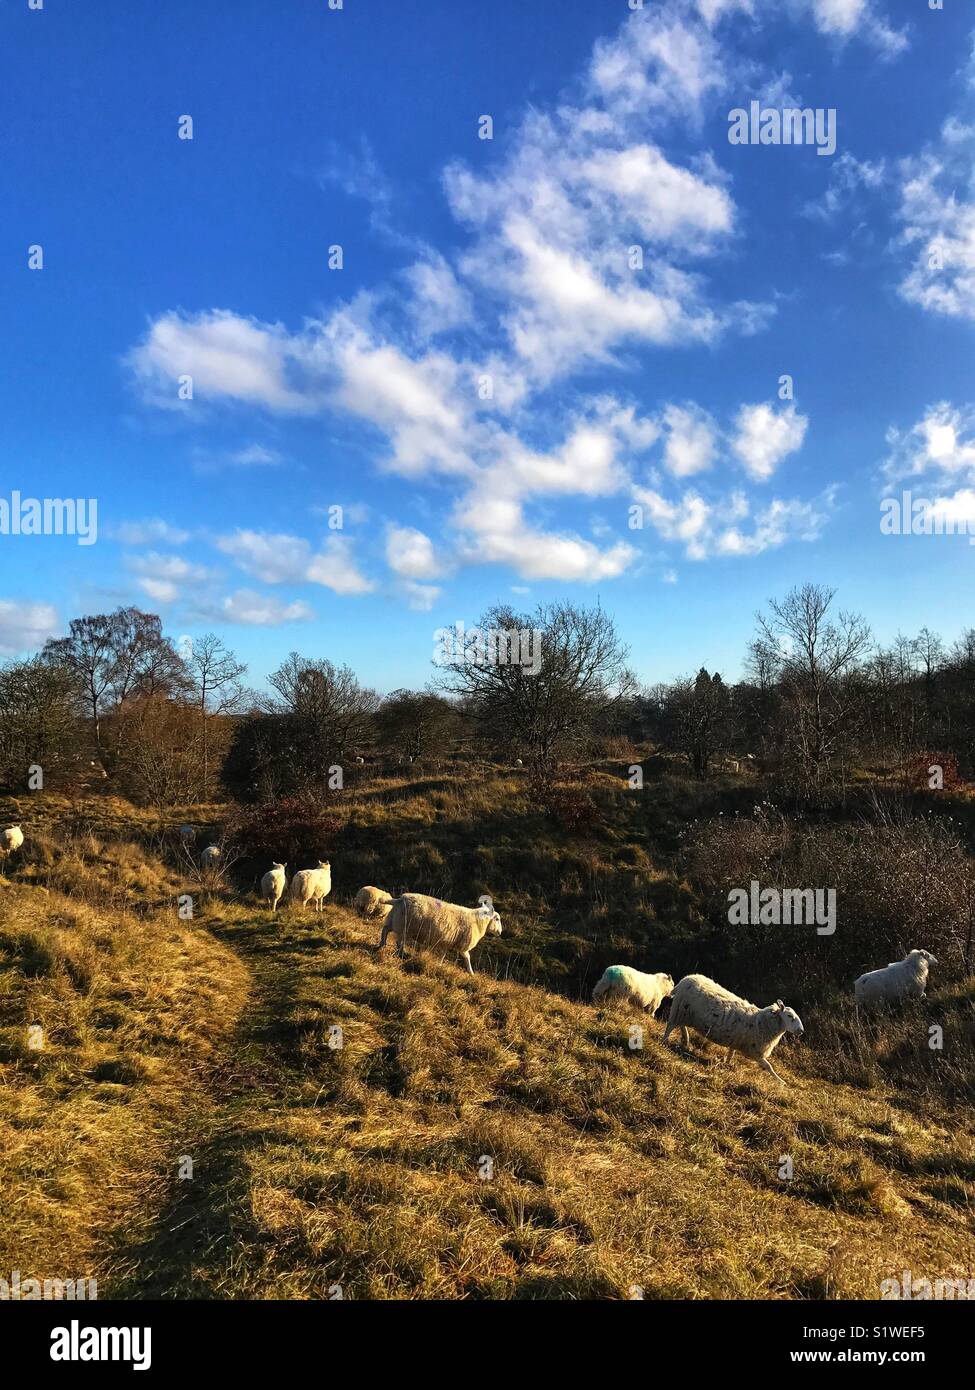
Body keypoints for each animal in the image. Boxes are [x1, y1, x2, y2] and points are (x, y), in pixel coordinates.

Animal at [662, 967, 806, 1084]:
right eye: (790, 1016)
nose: (801, 1031)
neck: (762, 1022)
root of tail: (685, 979)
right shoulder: (753, 1051)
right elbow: (768, 1066)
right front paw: (781, 1081)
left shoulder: (737, 1041)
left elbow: (731, 1053)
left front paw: (727, 1064)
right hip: (679, 1010)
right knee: (670, 1026)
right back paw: (665, 1041)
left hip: (685, 1013)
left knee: (681, 1026)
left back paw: (685, 1040)